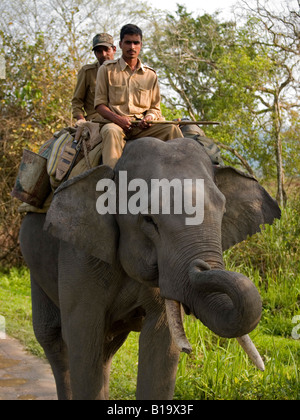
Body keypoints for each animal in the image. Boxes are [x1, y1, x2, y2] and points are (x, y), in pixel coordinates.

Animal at [19, 136, 282, 398]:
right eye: (149, 219)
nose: (200, 266)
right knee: (53, 338)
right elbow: (82, 339)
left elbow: (161, 345)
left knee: (107, 346)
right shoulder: (80, 254)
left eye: (224, 211)